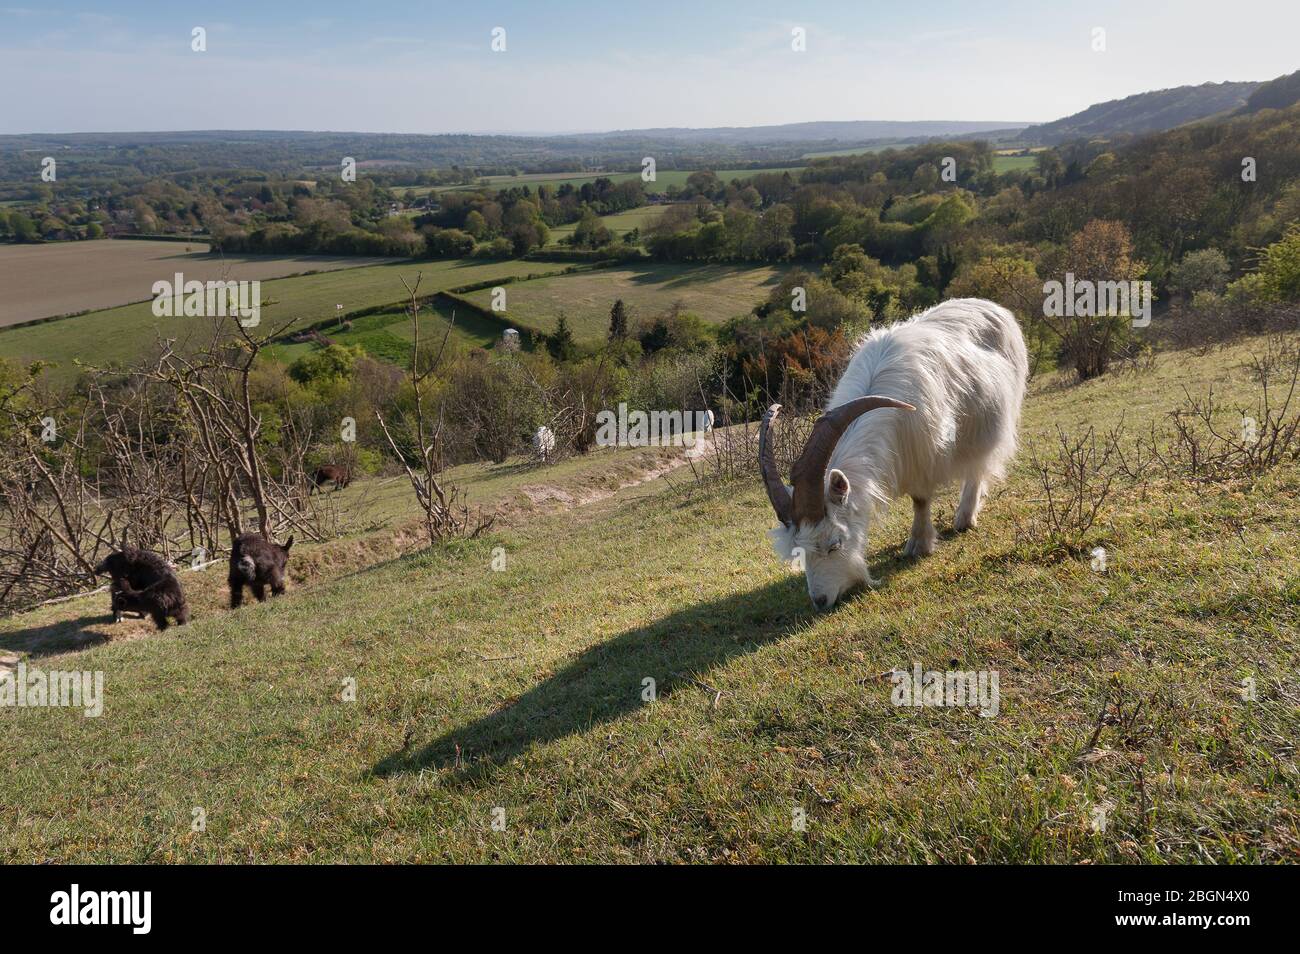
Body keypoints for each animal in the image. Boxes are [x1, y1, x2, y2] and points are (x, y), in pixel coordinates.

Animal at [759, 298, 1024, 613]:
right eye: (797, 550)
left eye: (835, 544)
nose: (820, 601)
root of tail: (991, 305)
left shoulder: (925, 454)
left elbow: (920, 500)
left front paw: (919, 544)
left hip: (993, 420)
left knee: (977, 467)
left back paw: (965, 517)